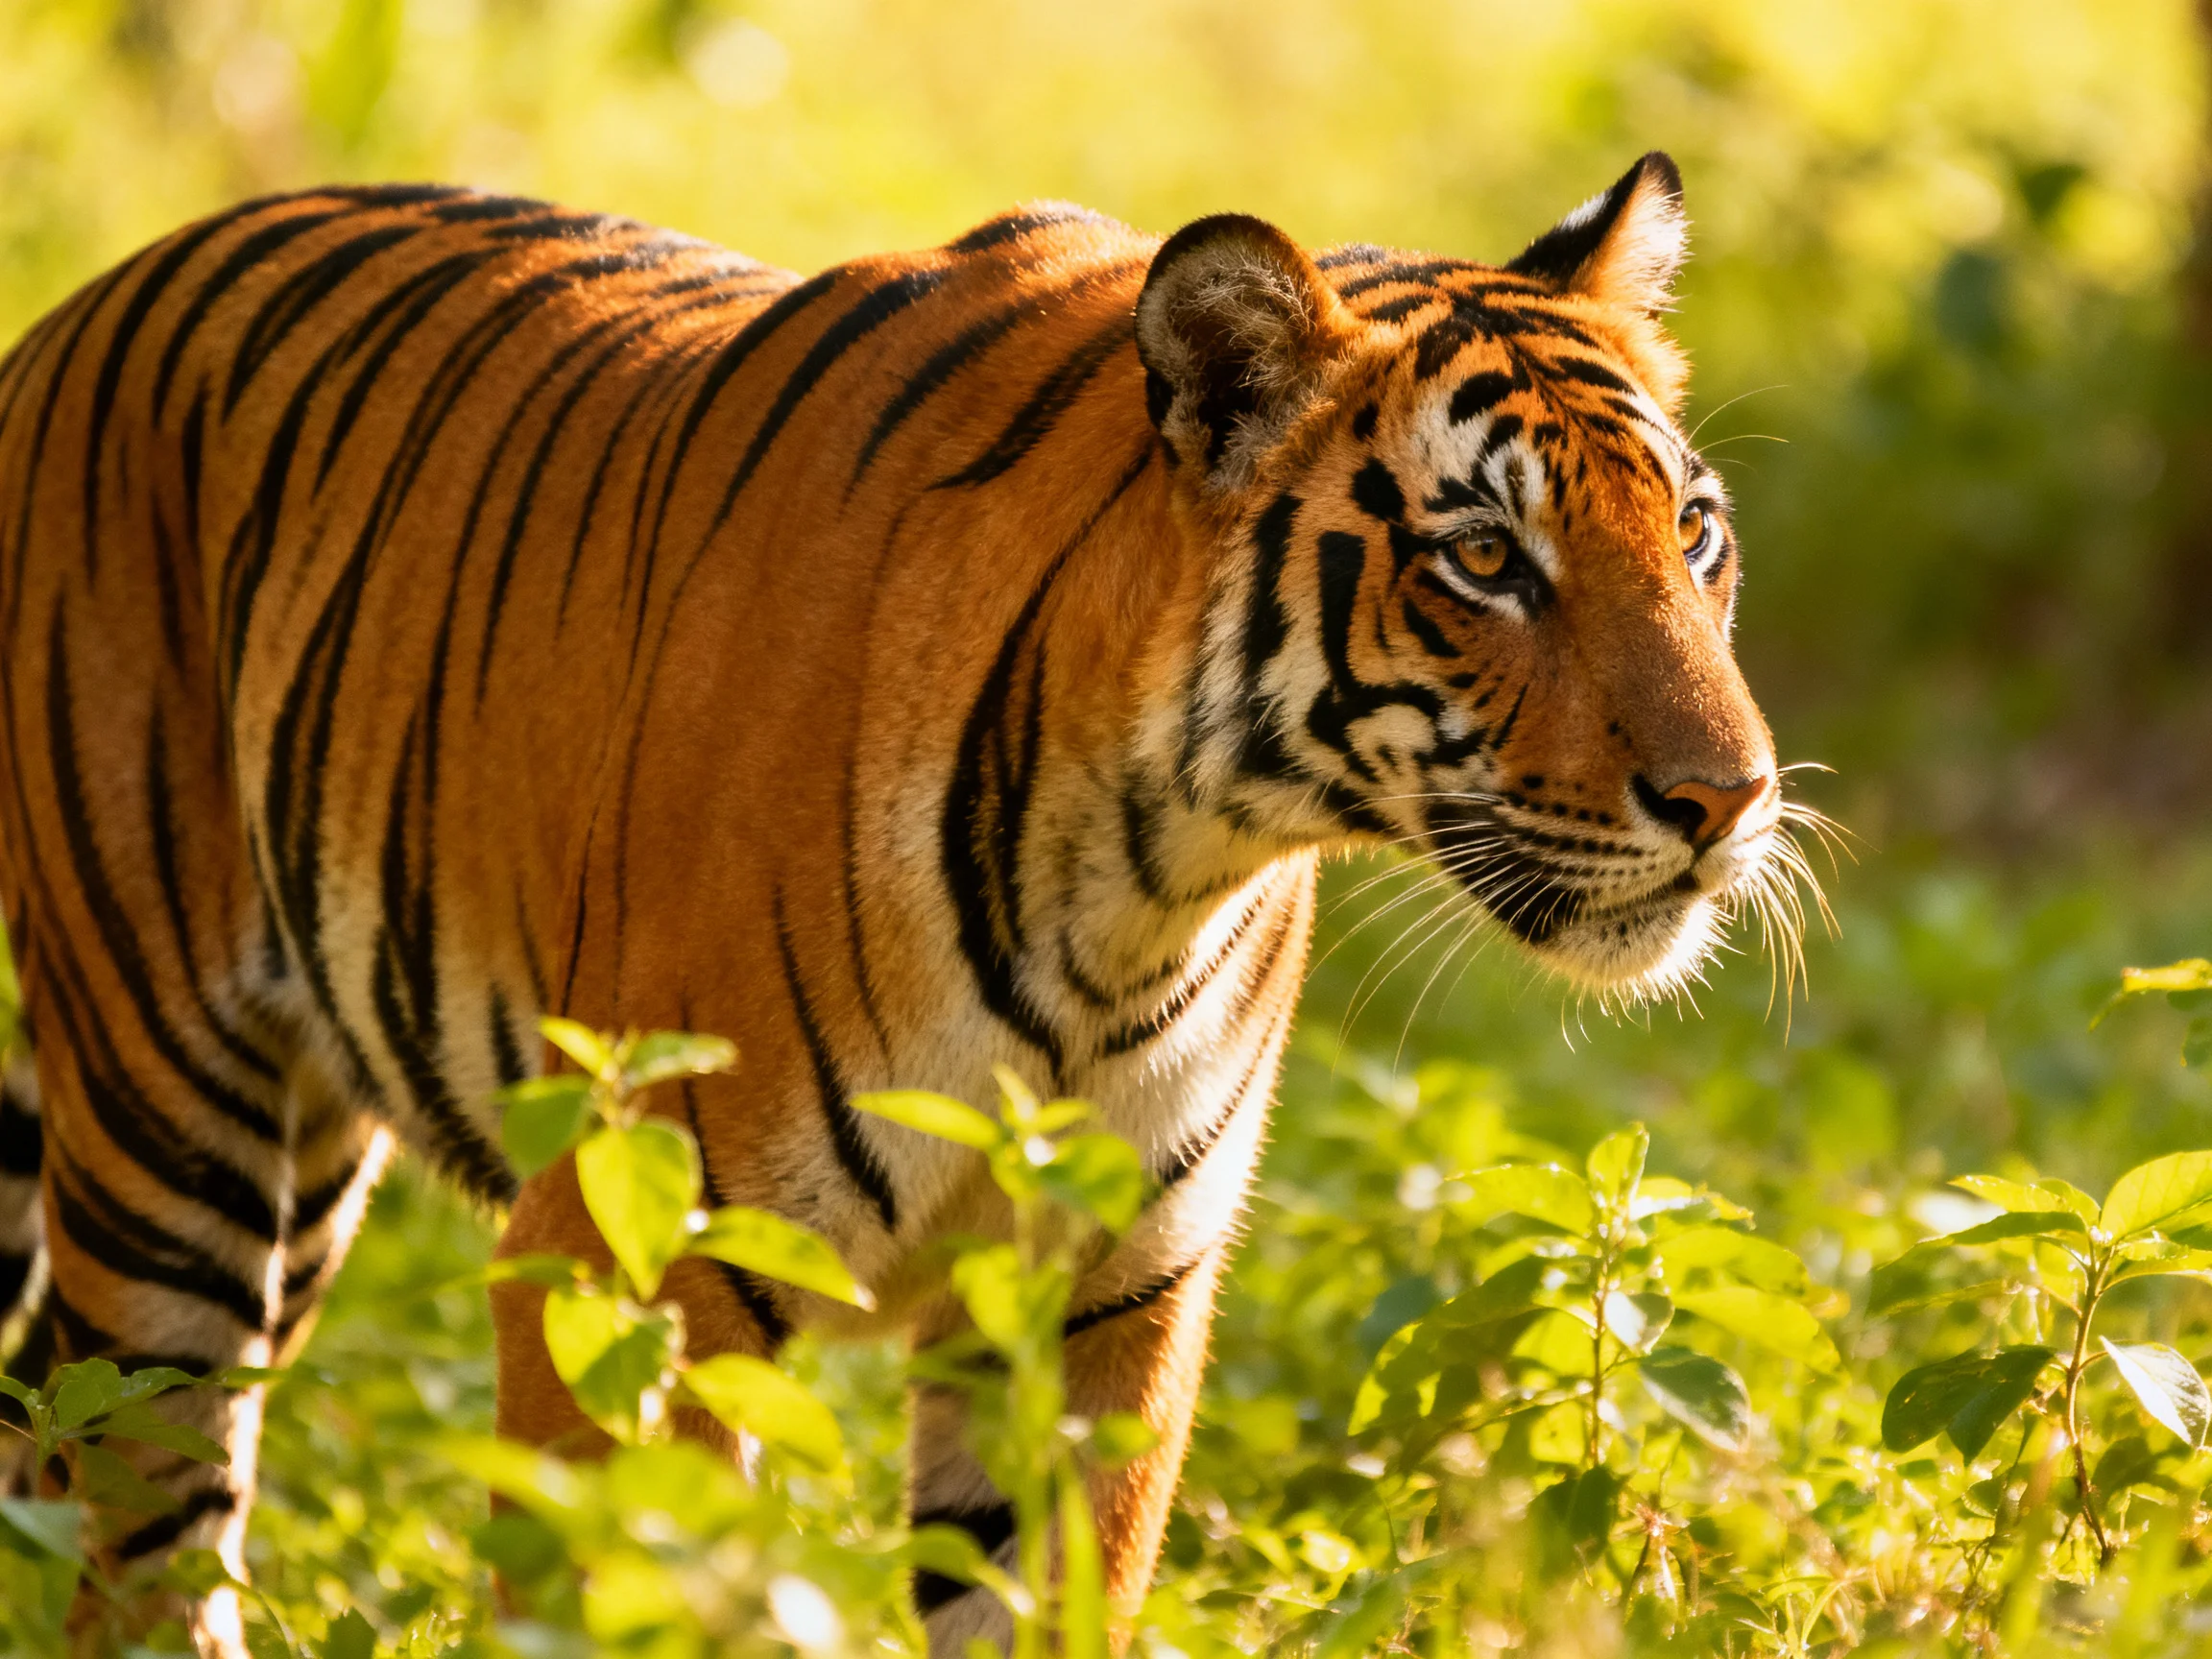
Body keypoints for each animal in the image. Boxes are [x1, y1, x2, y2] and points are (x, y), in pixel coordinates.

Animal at [0, 150, 1798, 1654]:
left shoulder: (1105, 1293)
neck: (1146, 875)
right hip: (173, 1151)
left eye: (1695, 532)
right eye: (1485, 560)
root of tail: (74, 313)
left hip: (303, 1169)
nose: (1729, 800)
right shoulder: (626, 1255)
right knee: (136, 1538)